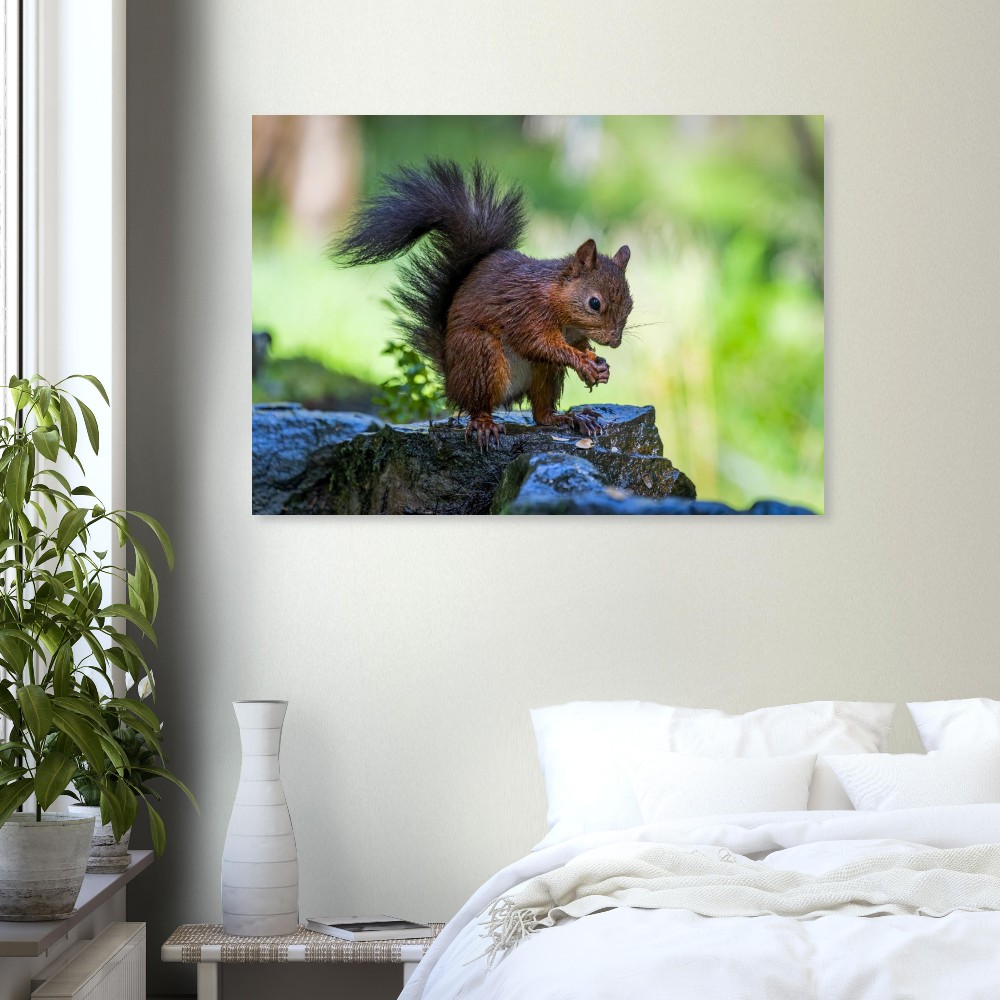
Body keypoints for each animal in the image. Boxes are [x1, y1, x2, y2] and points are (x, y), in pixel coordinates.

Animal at [332, 159, 633, 447]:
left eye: (630, 305)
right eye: (594, 303)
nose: (615, 341)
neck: (559, 303)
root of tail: (451, 379)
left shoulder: (572, 333)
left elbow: (577, 345)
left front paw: (598, 365)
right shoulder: (527, 311)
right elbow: (539, 343)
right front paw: (583, 363)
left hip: (544, 373)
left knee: (541, 414)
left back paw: (570, 418)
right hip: (480, 356)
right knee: (478, 405)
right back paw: (485, 423)